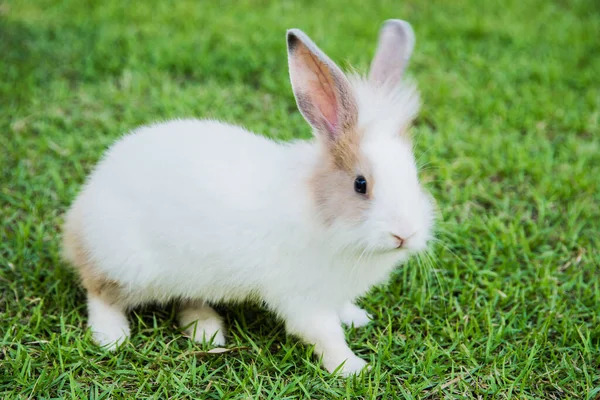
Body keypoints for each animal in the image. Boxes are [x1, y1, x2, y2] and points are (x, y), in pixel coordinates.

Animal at [61, 19, 434, 376]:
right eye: (360, 184)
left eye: (414, 176)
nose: (405, 234)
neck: (320, 207)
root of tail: (77, 220)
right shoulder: (303, 299)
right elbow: (326, 334)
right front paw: (353, 368)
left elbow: (340, 311)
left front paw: (357, 318)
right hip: (128, 268)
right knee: (99, 292)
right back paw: (112, 337)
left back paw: (207, 331)